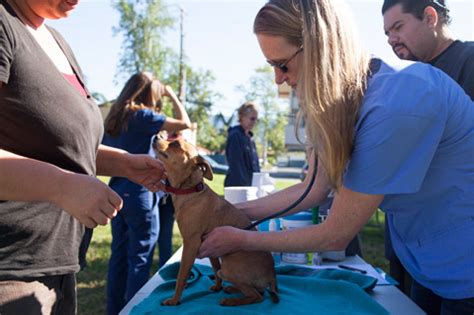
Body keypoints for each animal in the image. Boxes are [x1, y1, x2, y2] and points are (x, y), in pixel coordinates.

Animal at [155, 138, 278, 306]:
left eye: (176, 144)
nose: (155, 137)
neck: (191, 191)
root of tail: (272, 274)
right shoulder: (210, 249)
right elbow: (214, 267)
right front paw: (217, 287)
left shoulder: (190, 244)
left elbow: (182, 276)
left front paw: (174, 300)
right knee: (256, 290)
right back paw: (232, 289)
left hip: (228, 268)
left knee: (257, 296)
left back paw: (230, 301)